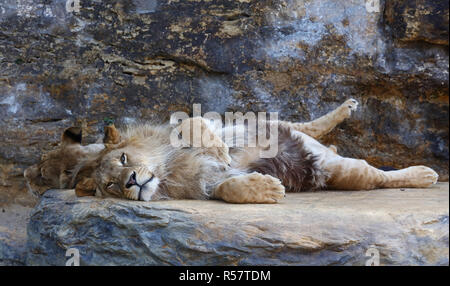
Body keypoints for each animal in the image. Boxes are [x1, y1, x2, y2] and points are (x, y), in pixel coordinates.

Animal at [25, 98, 440, 203]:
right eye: (110, 185)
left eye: (124, 160)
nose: (130, 182)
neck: (167, 168)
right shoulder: (205, 184)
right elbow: (227, 187)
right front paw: (268, 189)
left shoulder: (195, 123)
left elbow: (195, 124)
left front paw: (222, 149)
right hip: (336, 170)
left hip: (320, 154)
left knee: (378, 173)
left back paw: (423, 173)